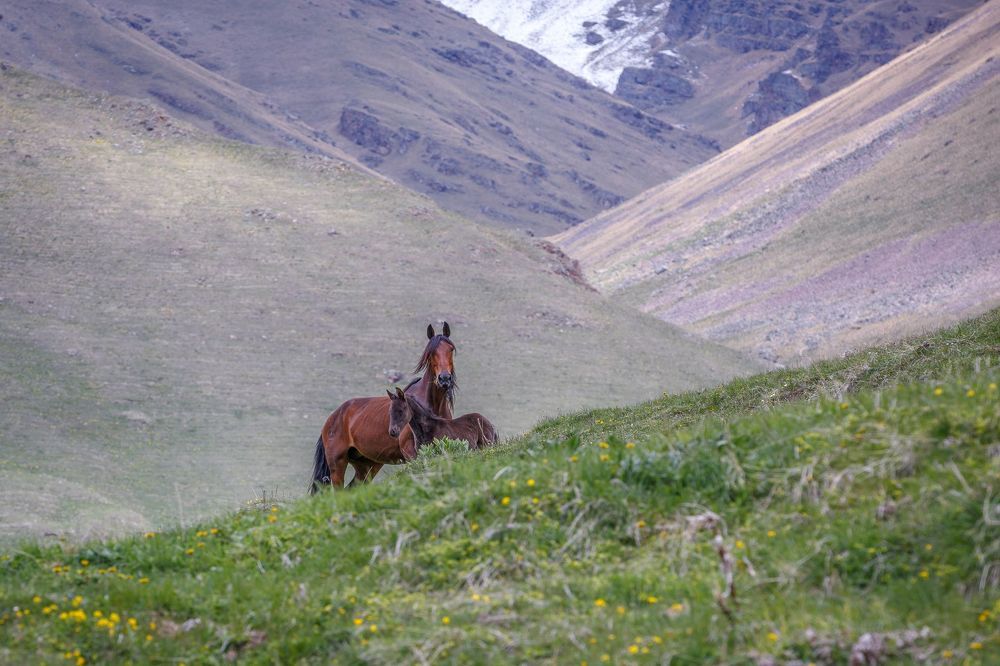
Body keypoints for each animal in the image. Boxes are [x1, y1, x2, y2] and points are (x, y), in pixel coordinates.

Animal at [309, 323, 457, 492]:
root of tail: (332, 417)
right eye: (431, 353)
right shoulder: (411, 453)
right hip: (337, 464)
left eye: (451, 349)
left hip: (367, 465)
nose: (444, 379)